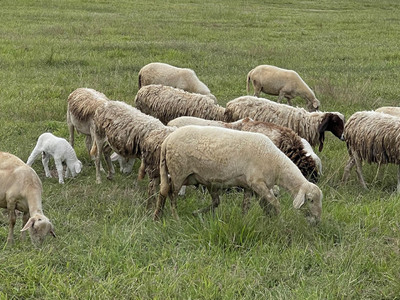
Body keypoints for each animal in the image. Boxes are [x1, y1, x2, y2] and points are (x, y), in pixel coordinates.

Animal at [152, 125, 322, 225]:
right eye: (310, 200)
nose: (317, 220)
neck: (277, 164)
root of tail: (167, 140)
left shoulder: (250, 186)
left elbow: (249, 206)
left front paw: (248, 221)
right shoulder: (257, 183)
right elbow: (275, 203)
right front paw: (279, 221)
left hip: (185, 174)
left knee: (163, 190)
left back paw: (158, 216)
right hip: (179, 171)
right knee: (172, 194)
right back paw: (176, 219)